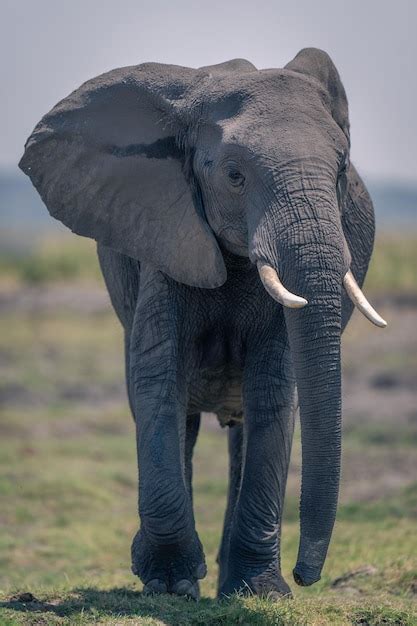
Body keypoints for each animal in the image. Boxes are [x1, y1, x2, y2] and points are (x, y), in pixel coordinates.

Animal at [18, 47, 384, 596]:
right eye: (234, 176)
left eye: (341, 173)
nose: (307, 576)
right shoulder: (161, 238)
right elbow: (158, 377)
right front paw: (169, 585)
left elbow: (274, 385)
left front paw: (260, 593)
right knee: (180, 415)